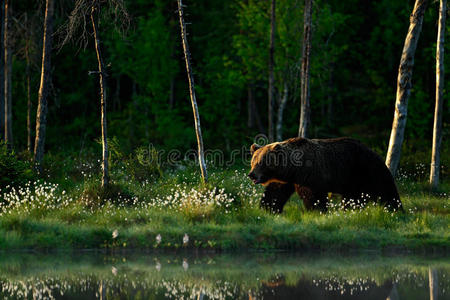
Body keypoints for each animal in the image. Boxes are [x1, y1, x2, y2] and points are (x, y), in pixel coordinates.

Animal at [248, 137, 402, 212]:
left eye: (261, 162)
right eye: (253, 161)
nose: (251, 175)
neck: (293, 170)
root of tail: (375, 152)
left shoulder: (311, 176)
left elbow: (314, 197)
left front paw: (317, 211)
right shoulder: (285, 180)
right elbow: (274, 193)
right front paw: (267, 209)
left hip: (364, 170)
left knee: (385, 190)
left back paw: (396, 209)